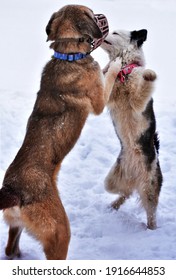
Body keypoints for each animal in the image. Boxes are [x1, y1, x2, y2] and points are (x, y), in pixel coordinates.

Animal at [0, 4, 119, 260]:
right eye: (92, 14)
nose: (103, 15)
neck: (67, 53)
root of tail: (13, 191)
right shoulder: (98, 101)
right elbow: (108, 75)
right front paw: (117, 63)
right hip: (60, 232)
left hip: (17, 225)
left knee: (10, 247)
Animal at [102, 29, 162, 230]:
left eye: (115, 32)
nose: (105, 30)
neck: (124, 72)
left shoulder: (137, 101)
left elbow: (144, 85)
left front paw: (149, 75)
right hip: (112, 180)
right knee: (126, 192)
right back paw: (113, 205)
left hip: (149, 187)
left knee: (151, 213)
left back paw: (150, 229)